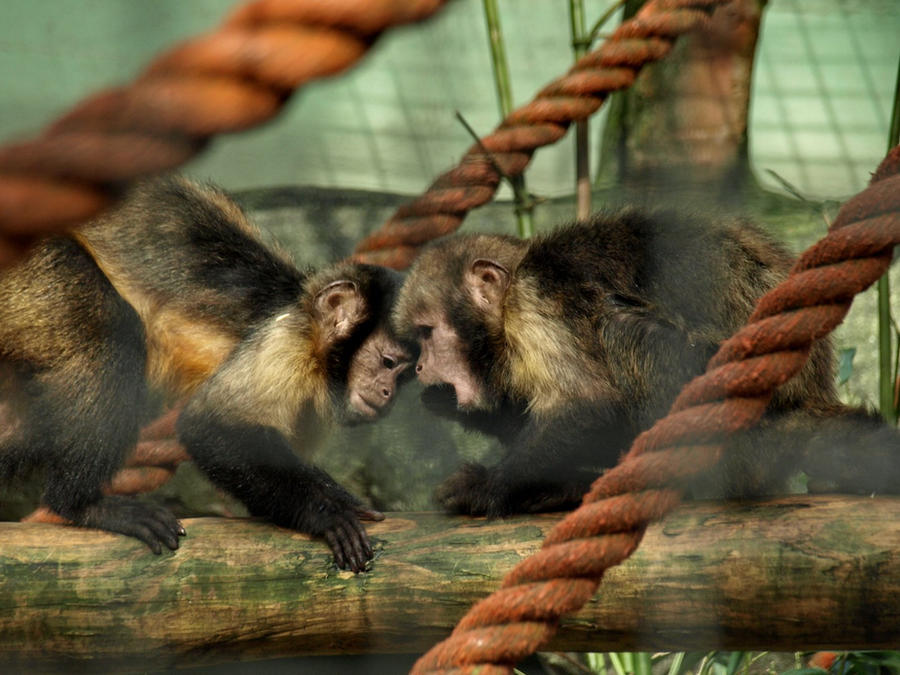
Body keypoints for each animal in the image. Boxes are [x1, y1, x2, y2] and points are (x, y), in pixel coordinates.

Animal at [0, 176, 413, 572]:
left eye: (405, 375)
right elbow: (208, 426)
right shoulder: (286, 343)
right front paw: (325, 515)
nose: (389, 393)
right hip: (36, 273)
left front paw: (336, 497)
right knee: (113, 332)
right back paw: (80, 504)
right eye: (387, 363)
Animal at [392, 207, 900, 517]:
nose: (419, 367)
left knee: (619, 325)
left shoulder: (532, 300)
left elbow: (588, 404)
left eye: (427, 333)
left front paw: (491, 486)